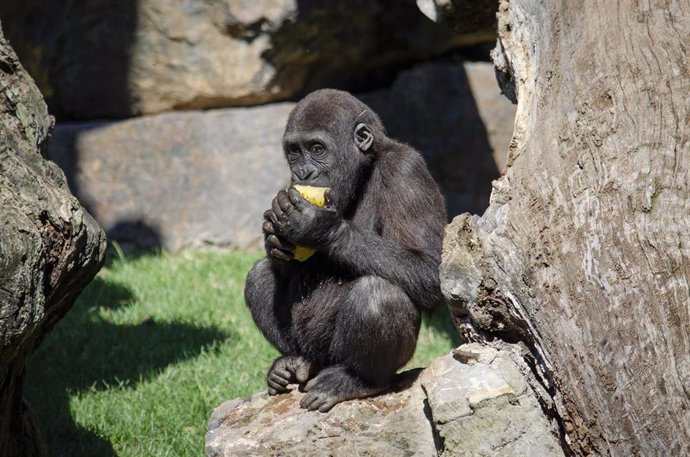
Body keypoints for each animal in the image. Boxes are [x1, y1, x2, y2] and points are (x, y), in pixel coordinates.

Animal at [243, 87, 446, 412]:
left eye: (317, 149)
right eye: (294, 151)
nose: (304, 173)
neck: (366, 166)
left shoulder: (407, 171)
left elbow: (428, 268)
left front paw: (318, 226)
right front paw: (273, 237)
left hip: (349, 360)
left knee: (379, 293)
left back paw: (358, 380)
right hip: (314, 351)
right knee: (260, 276)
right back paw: (293, 363)